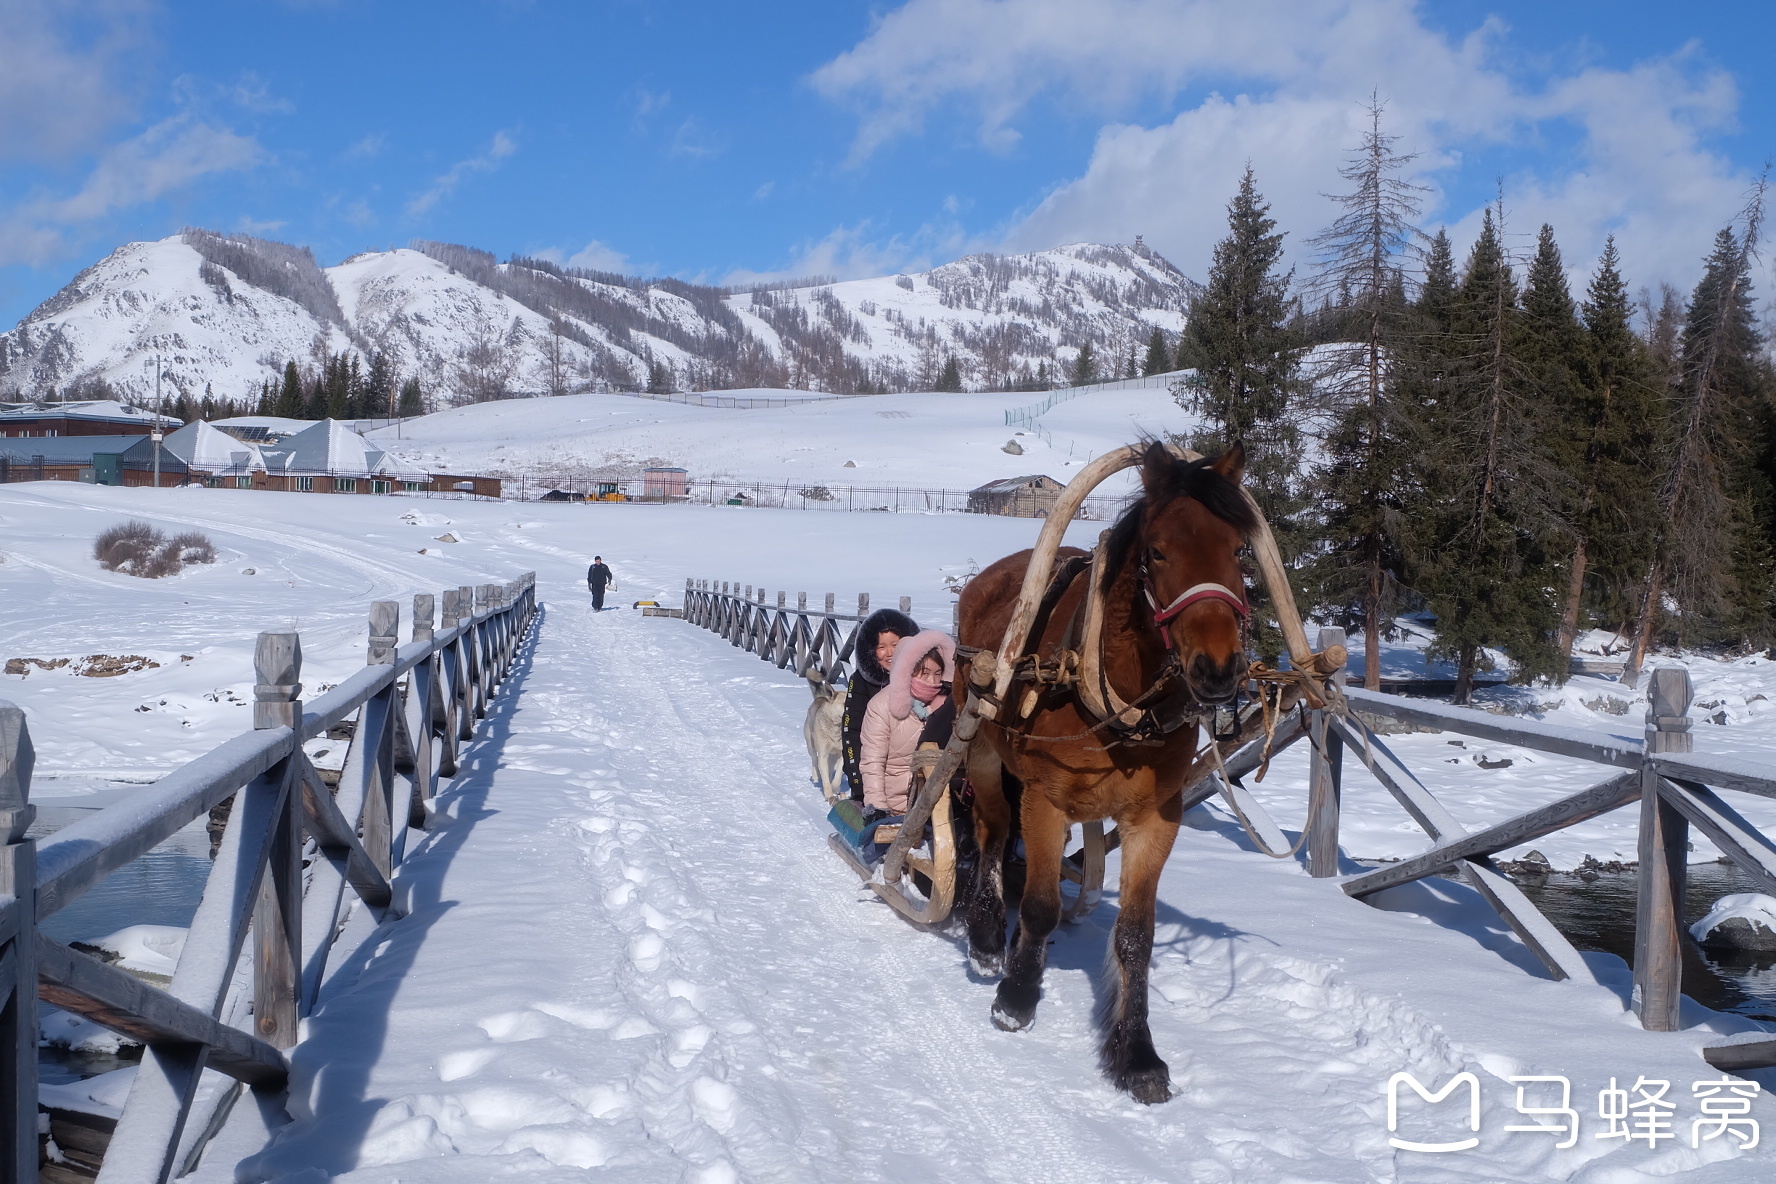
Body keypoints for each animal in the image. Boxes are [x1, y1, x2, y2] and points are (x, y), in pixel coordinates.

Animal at [959, 442, 1250, 1100]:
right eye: (1157, 552)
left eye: (1239, 550)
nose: (1218, 670)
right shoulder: (1042, 799)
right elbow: (1040, 904)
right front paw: (1016, 997)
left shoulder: (1156, 818)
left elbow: (1136, 936)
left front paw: (1136, 1052)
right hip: (983, 748)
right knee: (991, 829)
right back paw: (987, 934)